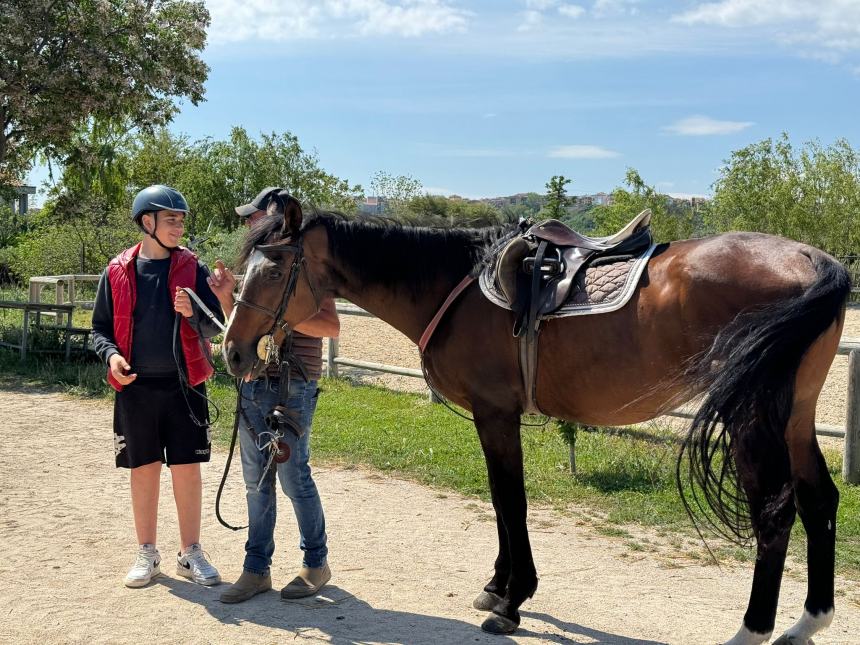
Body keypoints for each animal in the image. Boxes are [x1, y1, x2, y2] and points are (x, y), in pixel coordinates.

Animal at [223, 197, 852, 644]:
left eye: (273, 269)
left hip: (754, 421)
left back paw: (752, 631)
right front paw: (497, 587)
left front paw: (511, 601)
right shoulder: (492, 417)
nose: (232, 350)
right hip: (796, 418)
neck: (456, 287)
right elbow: (503, 501)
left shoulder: (496, 414)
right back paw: (806, 623)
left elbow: (510, 500)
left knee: (775, 515)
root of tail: (816, 261)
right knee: (819, 499)